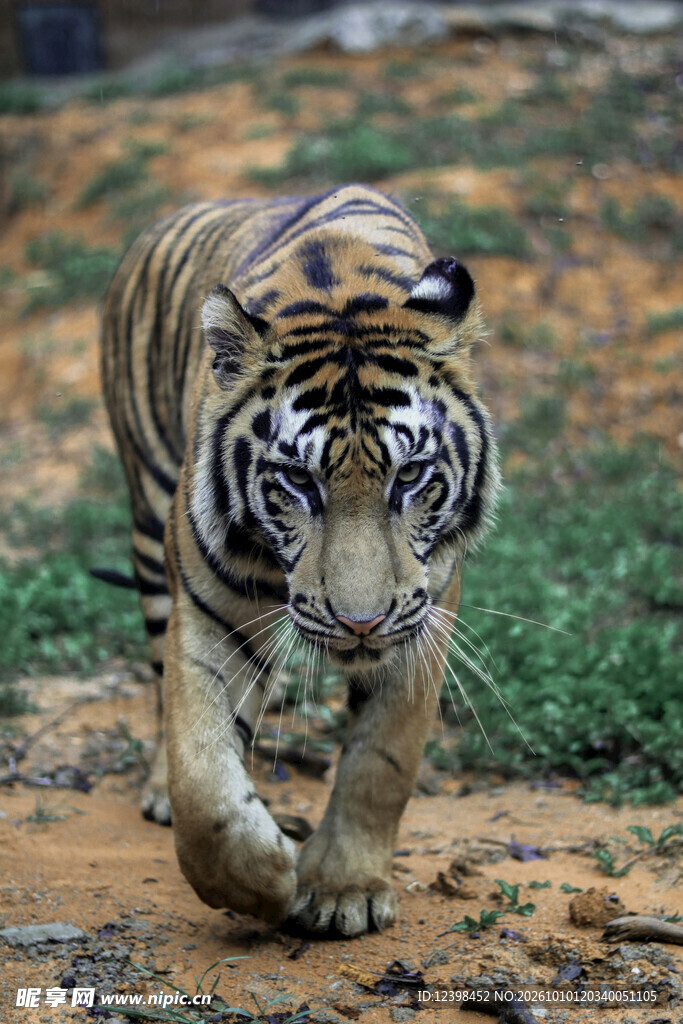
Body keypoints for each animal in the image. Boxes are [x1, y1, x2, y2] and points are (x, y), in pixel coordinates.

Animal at [101, 183, 500, 937]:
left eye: (409, 476)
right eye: (298, 481)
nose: (360, 624)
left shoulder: (425, 615)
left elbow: (381, 761)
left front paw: (343, 887)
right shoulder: (209, 615)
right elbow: (203, 778)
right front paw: (261, 883)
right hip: (147, 517)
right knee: (160, 682)